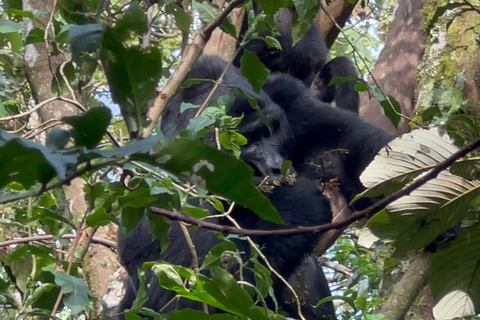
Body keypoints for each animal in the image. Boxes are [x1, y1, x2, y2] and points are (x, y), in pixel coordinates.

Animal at [117, 56, 338, 318]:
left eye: (271, 130)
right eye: (245, 141)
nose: (275, 167)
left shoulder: (287, 91)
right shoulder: (160, 196)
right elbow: (175, 300)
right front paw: (299, 202)